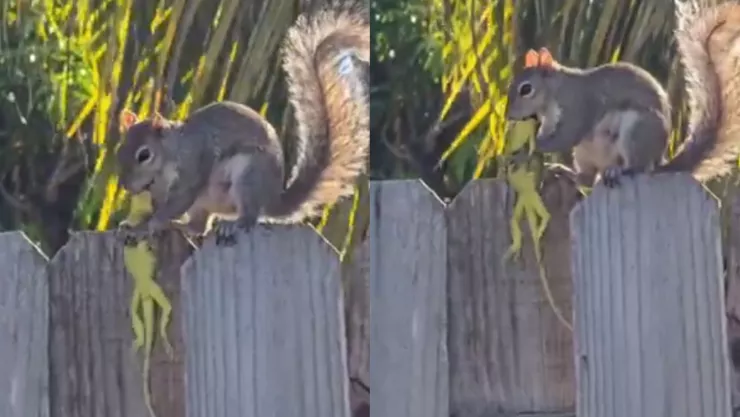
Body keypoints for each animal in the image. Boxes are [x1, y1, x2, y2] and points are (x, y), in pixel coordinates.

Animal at [115, 2, 369, 246]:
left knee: (248, 218)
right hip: (206, 202)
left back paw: (231, 224)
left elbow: (175, 204)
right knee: (199, 227)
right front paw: (134, 223)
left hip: (248, 178)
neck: (170, 155)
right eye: (120, 150)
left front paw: (145, 227)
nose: (127, 186)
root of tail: (272, 199)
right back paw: (179, 226)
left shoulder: (193, 166)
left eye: (144, 155)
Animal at [504, 1, 740, 188]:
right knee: (587, 180)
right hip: (584, 153)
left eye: (526, 89)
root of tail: (659, 163)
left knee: (636, 168)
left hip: (636, 132)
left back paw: (617, 171)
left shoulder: (578, 106)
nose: (508, 116)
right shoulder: (550, 121)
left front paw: (526, 151)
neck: (554, 93)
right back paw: (564, 171)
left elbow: (566, 135)